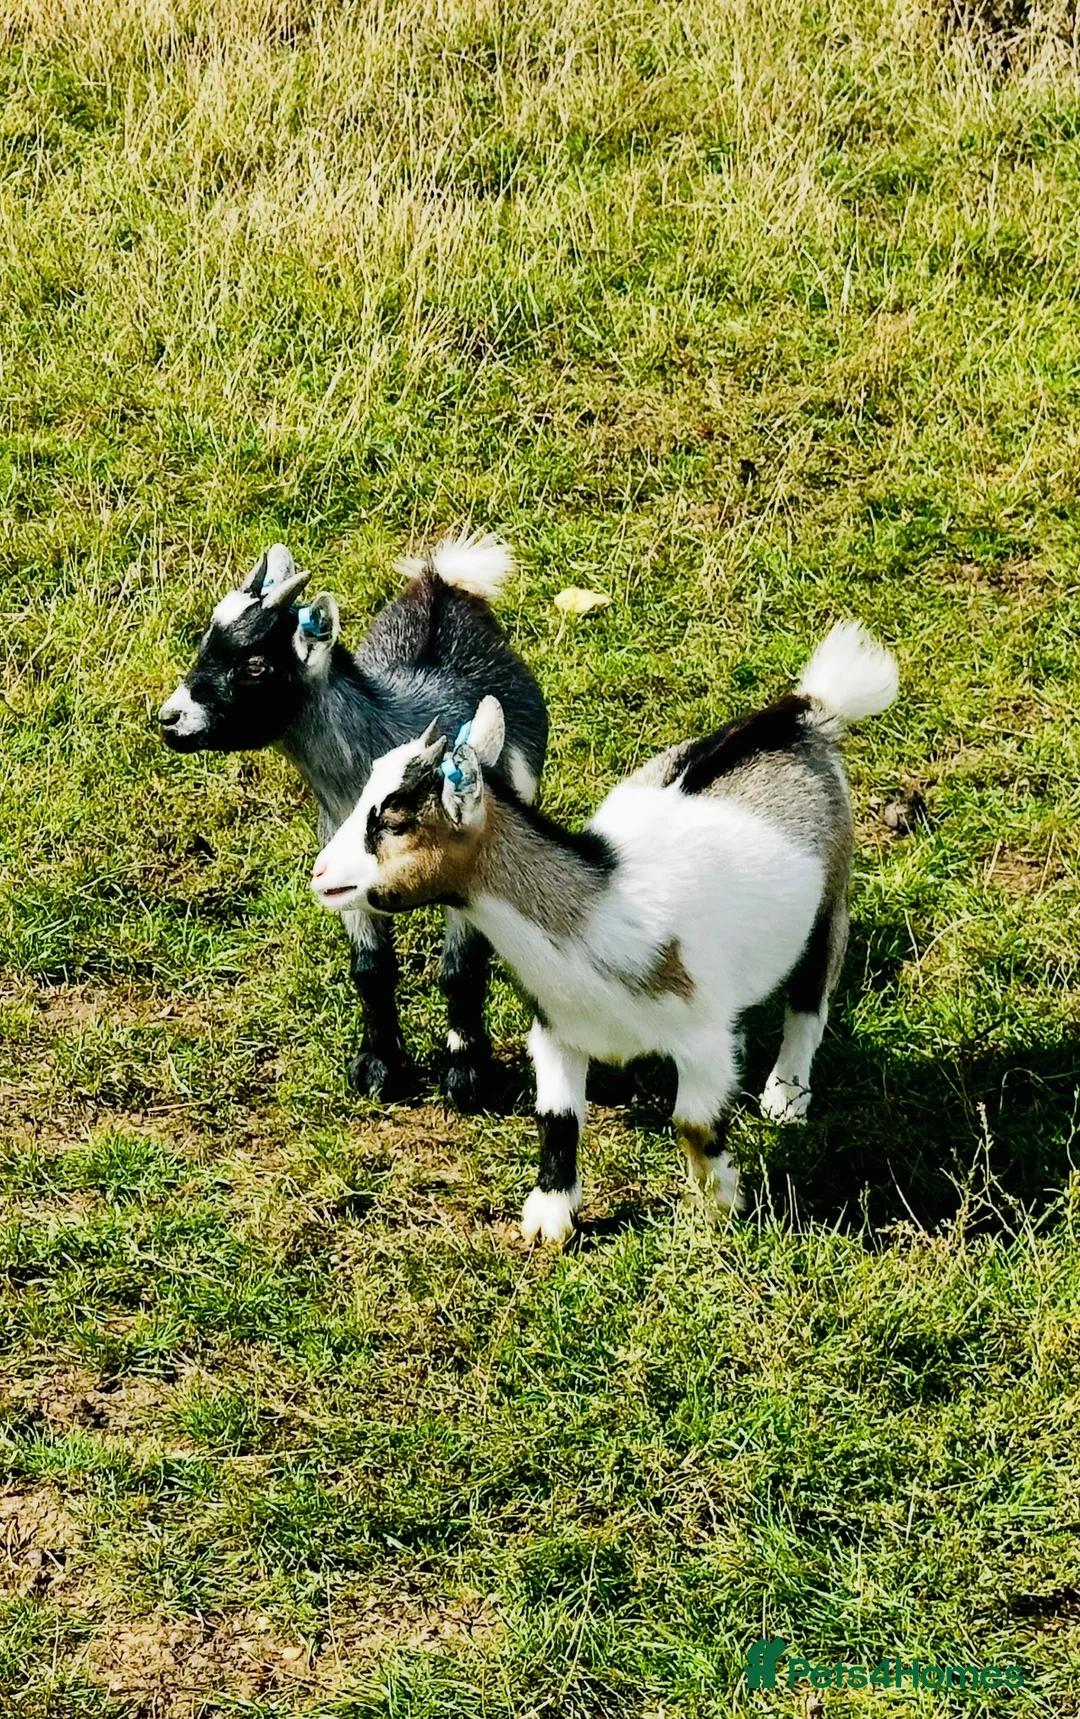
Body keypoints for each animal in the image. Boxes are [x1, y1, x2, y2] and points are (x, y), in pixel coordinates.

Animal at [160, 535, 548, 1108]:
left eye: (255, 665)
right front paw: (378, 1067)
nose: (169, 720)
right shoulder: (343, 871)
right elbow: (371, 969)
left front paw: (466, 1076)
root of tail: (437, 584)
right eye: (206, 642)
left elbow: (460, 970)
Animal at [310, 623, 898, 1242]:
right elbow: (557, 1117)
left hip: (832, 894)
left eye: (393, 820)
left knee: (811, 994)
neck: (597, 910)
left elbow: (693, 1120)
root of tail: (808, 715)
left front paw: (719, 1205)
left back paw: (785, 1094)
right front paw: (550, 1218)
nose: (320, 874)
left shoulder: (696, 1037)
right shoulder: (556, 1030)